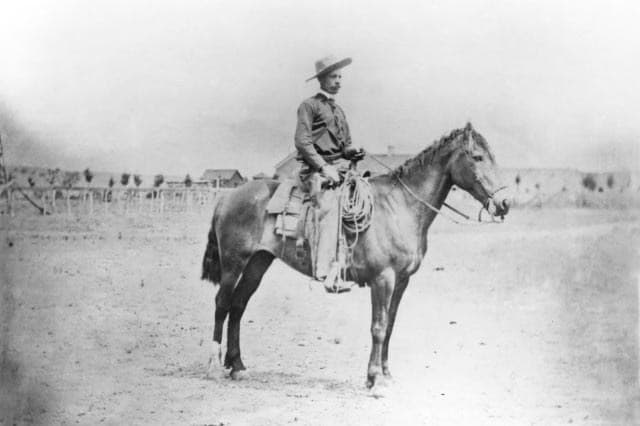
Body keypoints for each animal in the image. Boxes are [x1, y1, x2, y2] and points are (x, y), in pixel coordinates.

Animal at [200, 123, 510, 393]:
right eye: (478, 157)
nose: (505, 203)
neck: (400, 206)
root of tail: (226, 197)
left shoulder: (401, 281)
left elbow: (390, 325)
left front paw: (386, 375)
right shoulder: (382, 279)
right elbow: (378, 327)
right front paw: (374, 380)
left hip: (258, 262)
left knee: (238, 305)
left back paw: (237, 366)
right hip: (234, 264)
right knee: (222, 304)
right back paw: (214, 365)